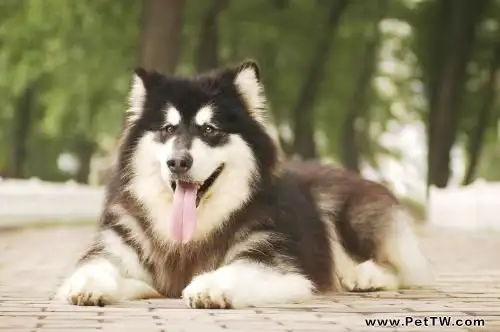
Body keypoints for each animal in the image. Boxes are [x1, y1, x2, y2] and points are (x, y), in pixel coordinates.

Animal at [55, 59, 434, 308]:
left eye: (210, 130)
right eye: (167, 128)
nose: (178, 163)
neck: (188, 240)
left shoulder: (277, 265)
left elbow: (235, 271)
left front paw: (209, 287)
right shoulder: (117, 249)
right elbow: (94, 269)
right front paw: (89, 285)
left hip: (353, 213)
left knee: (401, 266)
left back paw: (366, 277)